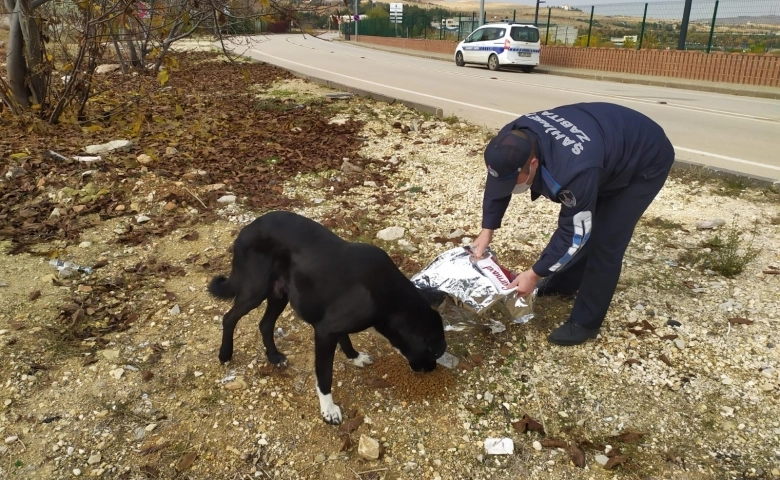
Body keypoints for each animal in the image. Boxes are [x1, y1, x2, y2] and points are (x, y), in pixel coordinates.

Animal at [207, 210, 448, 424]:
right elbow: (325, 376)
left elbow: (346, 341)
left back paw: (274, 357)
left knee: (265, 324)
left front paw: (355, 357)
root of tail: (247, 229)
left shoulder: (334, 326)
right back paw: (225, 354)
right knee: (229, 318)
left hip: (279, 294)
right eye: (435, 352)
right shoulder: (325, 332)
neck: (389, 299)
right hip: (254, 290)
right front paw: (328, 410)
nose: (432, 369)